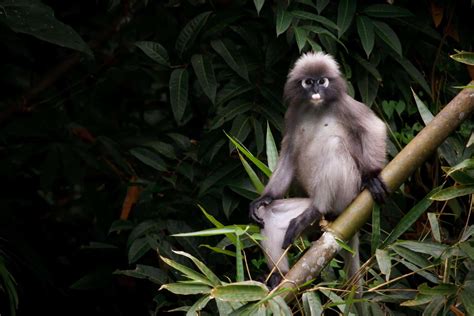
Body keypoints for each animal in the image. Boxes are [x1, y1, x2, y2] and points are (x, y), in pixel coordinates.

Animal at [250, 51, 386, 288]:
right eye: (309, 82)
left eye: (322, 81)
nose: (315, 89)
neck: (316, 107)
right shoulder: (292, 113)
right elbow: (289, 153)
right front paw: (265, 197)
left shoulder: (345, 104)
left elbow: (374, 127)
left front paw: (371, 176)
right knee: (271, 216)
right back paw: (278, 277)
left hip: (346, 195)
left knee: (334, 146)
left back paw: (317, 209)